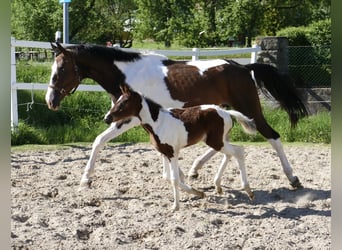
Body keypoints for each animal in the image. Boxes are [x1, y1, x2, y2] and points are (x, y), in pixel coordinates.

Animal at [44, 42, 308, 189]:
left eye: (62, 69)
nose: (50, 101)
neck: (128, 75)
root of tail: (243, 67)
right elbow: (160, 148)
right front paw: (174, 174)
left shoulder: (127, 119)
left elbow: (99, 140)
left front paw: (85, 179)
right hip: (220, 110)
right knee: (224, 140)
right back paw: (195, 168)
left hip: (249, 109)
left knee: (273, 136)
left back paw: (293, 178)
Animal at [104, 84, 256, 211]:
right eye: (117, 101)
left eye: (123, 102)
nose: (107, 118)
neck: (158, 123)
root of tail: (227, 113)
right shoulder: (164, 153)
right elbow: (166, 176)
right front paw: (198, 193)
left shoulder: (172, 153)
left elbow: (174, 179)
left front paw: (175, 206)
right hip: (219, 141)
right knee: (230, 153)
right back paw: (218, 186)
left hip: (216, 141)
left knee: (238, 151)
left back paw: (248, 191)